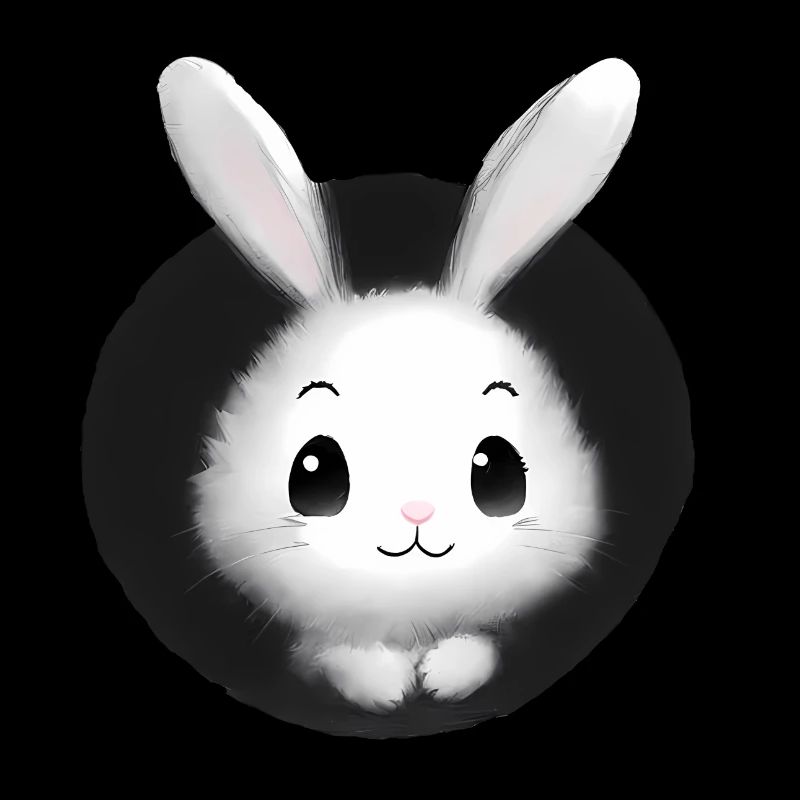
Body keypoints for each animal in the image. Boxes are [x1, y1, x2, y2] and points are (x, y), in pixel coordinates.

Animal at [158, 56, 639, 713]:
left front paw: (441, 676)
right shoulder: (314, 644)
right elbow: (338, 653)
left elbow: (477, 645)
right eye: (314, 472)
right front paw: (385, 688)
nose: (418, 511)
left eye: (496, 470)